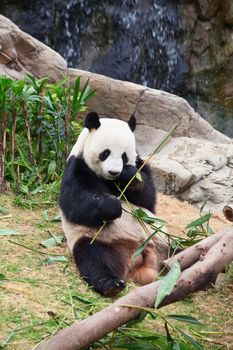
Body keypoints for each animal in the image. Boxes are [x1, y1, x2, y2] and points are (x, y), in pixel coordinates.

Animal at [58, 111, 167, 296]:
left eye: (124, 155)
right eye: (105, 153)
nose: (114, 172)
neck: (108, 180)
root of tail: (139, 254)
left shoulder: (139, 163)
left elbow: (148, 196)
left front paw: (128, 176)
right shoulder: (78, 166)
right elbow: (75, 202)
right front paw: (113, 206)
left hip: (161, 240)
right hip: (100, 240)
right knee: (95, 259)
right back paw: (111, 285)